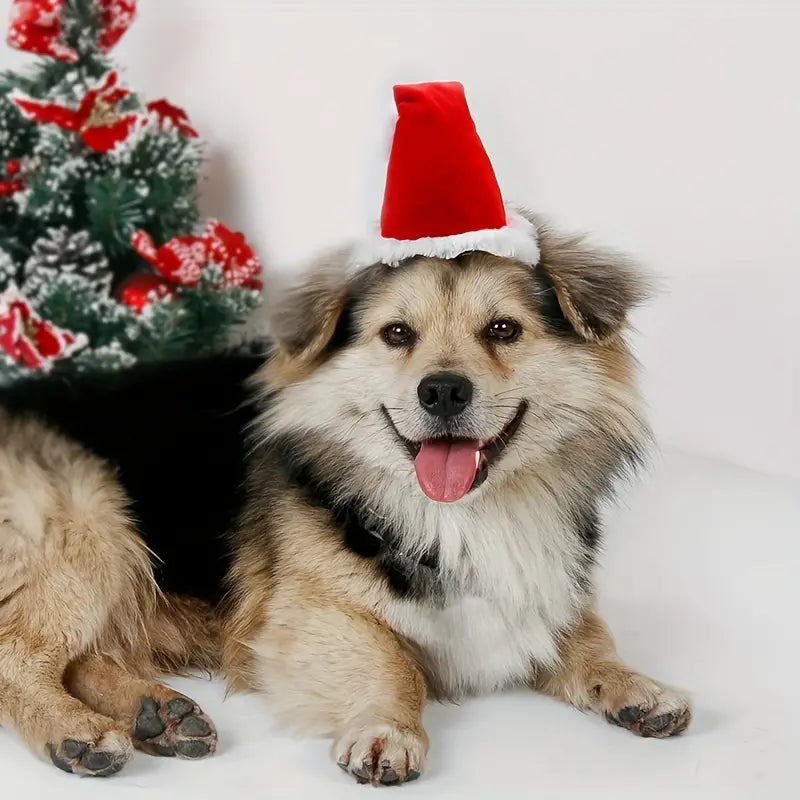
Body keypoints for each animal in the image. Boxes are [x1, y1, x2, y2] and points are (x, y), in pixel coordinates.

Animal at [0, 212, 688, 780]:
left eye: (503, 329)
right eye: (397, 333)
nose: (443, 390)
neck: (462, 514)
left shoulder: (545, 588)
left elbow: (592, 640)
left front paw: (637, 687)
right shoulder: (310, 610)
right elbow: (393, 661)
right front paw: (388, 730)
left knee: (83, 656)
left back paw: (158, 712)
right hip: (90, 525)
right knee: (18, 652)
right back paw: (74, 730)